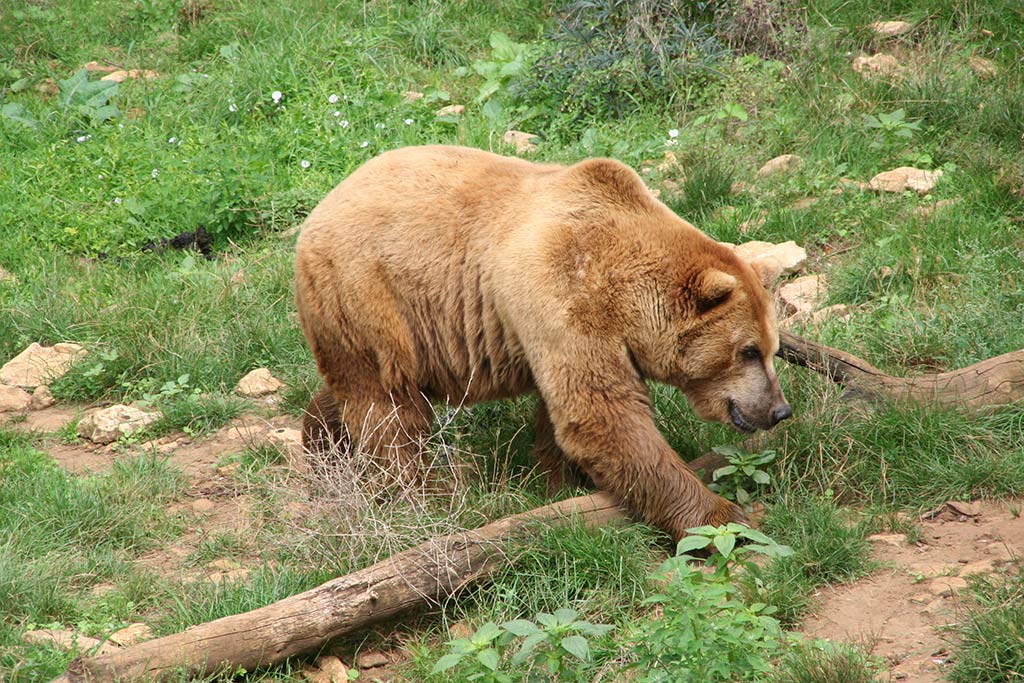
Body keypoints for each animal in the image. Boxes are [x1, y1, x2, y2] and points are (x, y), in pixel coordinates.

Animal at [294, 145, 791, 542]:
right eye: (747, 351)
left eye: (771, 348)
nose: (779, 410)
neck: (621, 292)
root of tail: (317, 212)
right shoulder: (561, 291)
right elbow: (603, 415)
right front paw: (724, 517)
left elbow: (562, 414)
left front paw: (556, 480)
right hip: (372, 296)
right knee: (387, 408)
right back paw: (420, 493)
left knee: (355, 390)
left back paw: (322, 441)